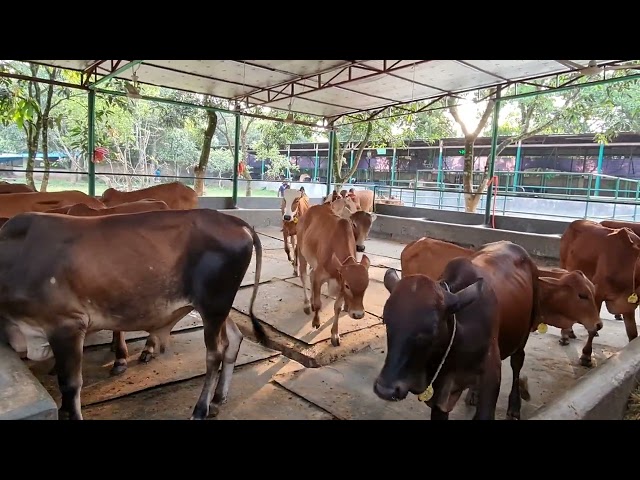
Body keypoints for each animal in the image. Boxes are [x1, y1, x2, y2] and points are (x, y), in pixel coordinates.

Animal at [0, 210, 268, 420]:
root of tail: (236, 222)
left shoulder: (67, 324)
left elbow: (70, 384)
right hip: (216, 307)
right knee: (234, 338)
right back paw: (217, 400)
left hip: (213, 304)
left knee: (215, 354)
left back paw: (200, 409)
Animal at [296, 202, 378, 344]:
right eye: (348, 286)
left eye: (366, 286)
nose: (358, 314)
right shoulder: (320, 276)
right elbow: (318, 303)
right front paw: (316, 322)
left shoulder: (340, 279)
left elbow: (337, 308)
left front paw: (334, 334)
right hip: (302, 252)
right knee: (304, 276)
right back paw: (307, 304)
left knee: (310, 276)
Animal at [372, 242, 544, 418]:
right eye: (386, 321)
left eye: (431, 330)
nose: (385, 390)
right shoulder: (439, 394)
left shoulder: (491, 378)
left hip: (524, 334)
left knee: (517, 362)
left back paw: (515, 405)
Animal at [556, 219, 640, 366]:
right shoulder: (597, 293)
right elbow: (594, 327)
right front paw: (586, 356)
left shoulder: (628, 303)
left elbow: (633, 334)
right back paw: (565, 335)